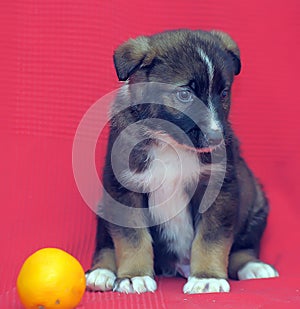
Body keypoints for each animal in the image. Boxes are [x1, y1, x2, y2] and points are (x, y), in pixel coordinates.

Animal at [85, 29, 278, 294]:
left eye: (224, 93)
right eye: (185, 94)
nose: (217, 139)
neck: (170, 143)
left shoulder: (218, 189)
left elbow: (211, 237)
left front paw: (207, 277)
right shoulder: (124, 188)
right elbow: (132, 238)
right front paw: (134, 276)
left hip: (256, 200)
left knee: (244, 246)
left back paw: (253, 266)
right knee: (106, 244)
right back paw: (101, 271)